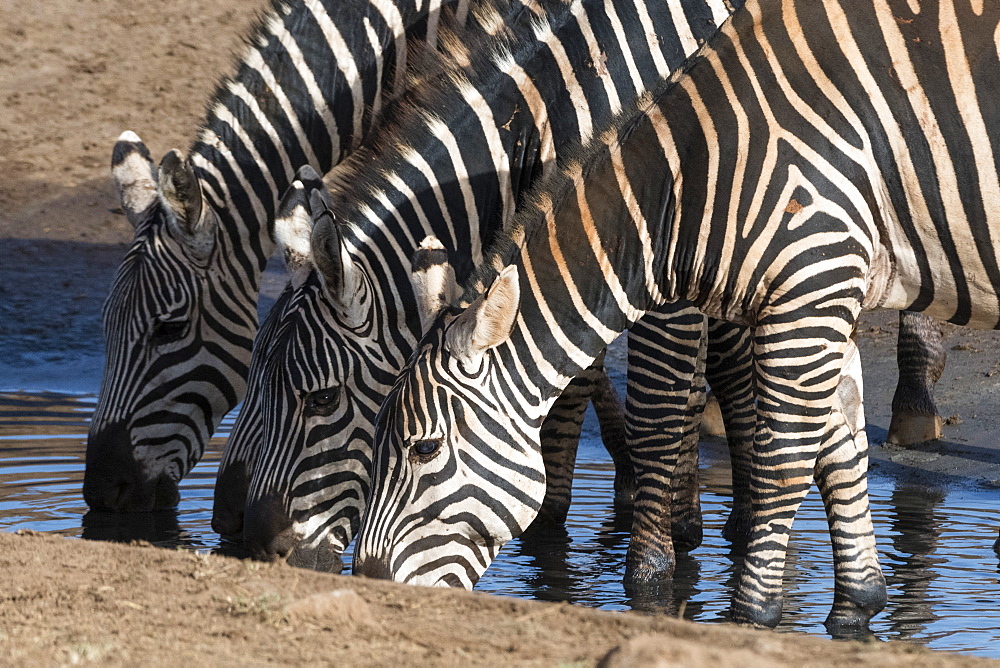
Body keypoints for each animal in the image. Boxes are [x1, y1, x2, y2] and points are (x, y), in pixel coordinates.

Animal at [219, 0, 752, 568]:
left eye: (321, 400)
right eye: (250, 375)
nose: (251, 539)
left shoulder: (664, 258)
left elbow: (660, 405)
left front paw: (652, 560)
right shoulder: (575, 246)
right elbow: (562, 376)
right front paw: (551, 530)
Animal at [354, 0, 1000, 632]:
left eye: (424, 449)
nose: (365, 583)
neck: (694, 177)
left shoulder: (809, 281)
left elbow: (773, 458)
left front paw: (742, 613)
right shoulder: (829, 292)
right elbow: (840, 447)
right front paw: (856, 604)